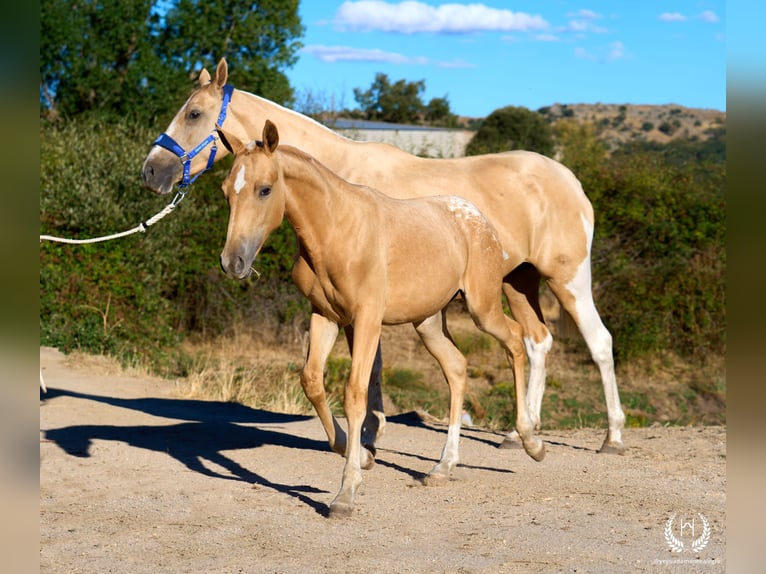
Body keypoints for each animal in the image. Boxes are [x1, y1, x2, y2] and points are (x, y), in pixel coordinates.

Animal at [142, 58, 625, 455]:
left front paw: (369, 436)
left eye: (194, 113)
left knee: (599, 343)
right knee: (536, 341)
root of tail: (571, 180)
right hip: (518, 281)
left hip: (567, 279)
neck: (338, 180)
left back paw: (612, 437)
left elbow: (370, 369)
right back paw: (519, 433)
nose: (151, 171)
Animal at [217, 120, 545, 516]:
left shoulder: (367, 319)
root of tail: (476, 218)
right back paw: (443, 466)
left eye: (264, 189)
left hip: (482, 307)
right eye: (225, 192)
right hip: (429, 322)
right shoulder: (325, 316)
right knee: (457, 368)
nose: (233, 263)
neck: (336, 229)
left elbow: (356, 391)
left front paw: (346, 493)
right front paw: (357, 452)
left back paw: (530, 440)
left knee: (515, 341)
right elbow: (312, 381)